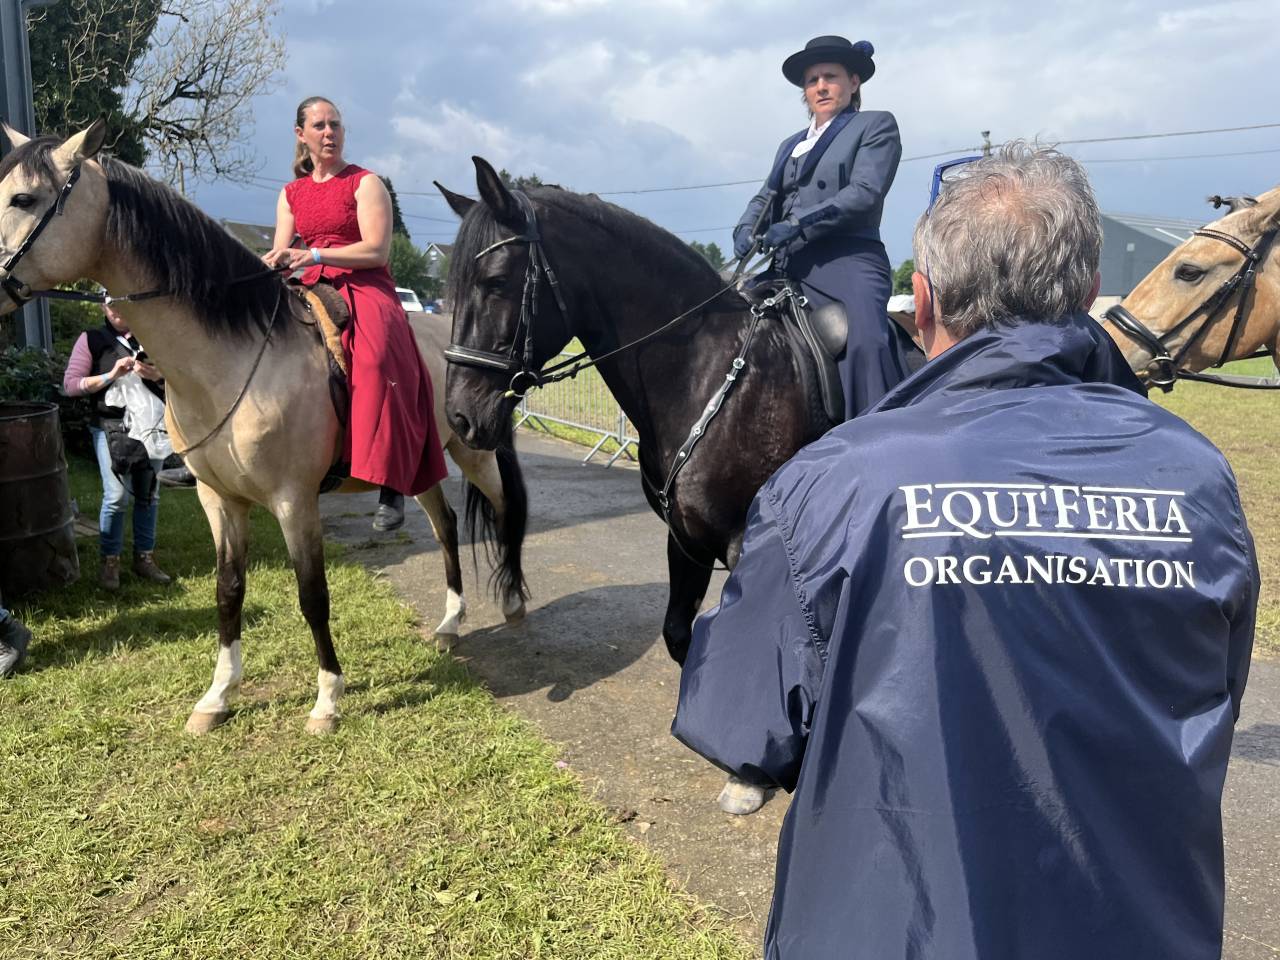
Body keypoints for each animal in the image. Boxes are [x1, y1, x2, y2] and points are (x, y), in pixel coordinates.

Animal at [0, 122, 524, 737]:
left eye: (23, 199)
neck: (232, 358)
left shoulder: (295, 501)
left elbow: (312, 596)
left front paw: (327, 700)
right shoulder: (220, 499)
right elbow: (228, 592)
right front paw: (217, 696)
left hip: (472, 450)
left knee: (504, 509)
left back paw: (513, 602)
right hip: (423, 463)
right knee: (446, 526)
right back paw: (448, 624)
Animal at [435, 158, 844, 819]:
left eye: (495, 282)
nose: (462, 419)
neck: (712, 372)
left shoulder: (743, 543)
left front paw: (751, 771)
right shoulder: (687, 538)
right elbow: (680, 634)